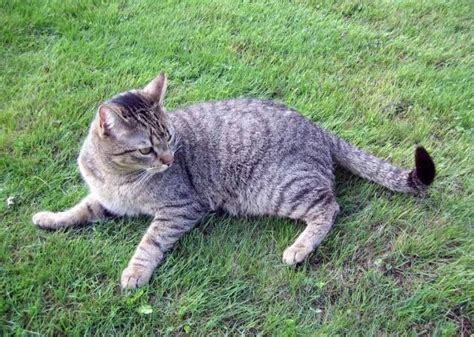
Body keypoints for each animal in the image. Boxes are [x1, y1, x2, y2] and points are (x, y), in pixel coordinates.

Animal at [31, 73, 436, 288]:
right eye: (146, 148)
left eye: (169, 138)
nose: (168, 159)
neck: (118, 179)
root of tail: (317, 127)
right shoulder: (103, 199)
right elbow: (78, 210)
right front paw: (50, 218)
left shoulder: (180, 209)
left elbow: (150, 241)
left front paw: (135, 270)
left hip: (281, 190)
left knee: (329, 207)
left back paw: (299, 248)